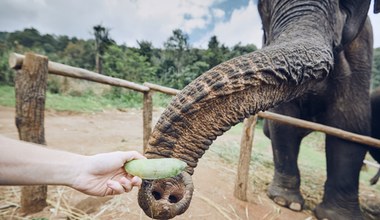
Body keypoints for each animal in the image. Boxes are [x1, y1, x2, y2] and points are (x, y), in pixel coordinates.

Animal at [137, 0, 380, 220]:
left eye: (346, 4)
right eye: (264, 6)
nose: (165, 189)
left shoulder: (363, 49)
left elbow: (350, 126)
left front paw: (336, 216)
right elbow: (284, 122)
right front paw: (286, 203)